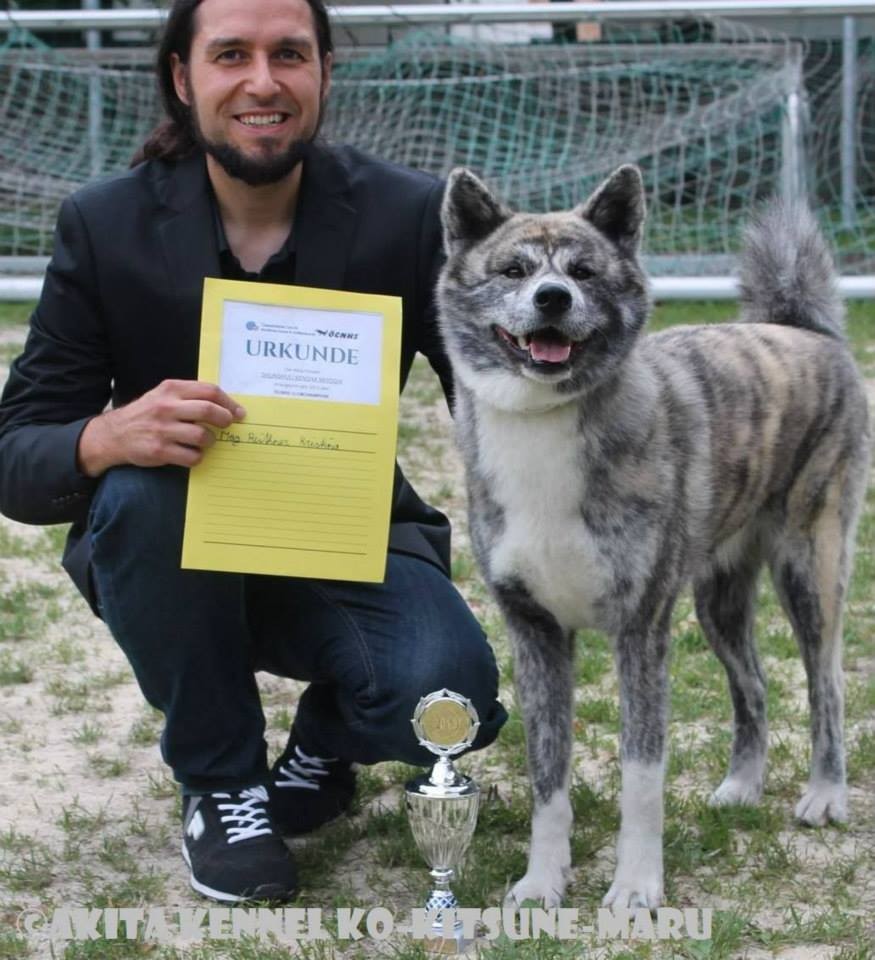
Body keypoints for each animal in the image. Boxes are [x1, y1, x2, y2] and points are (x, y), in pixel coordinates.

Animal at [435, 165, 870, 909]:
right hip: (716, 600)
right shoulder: (535, 635)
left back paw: (824, 795)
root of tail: (801, 331)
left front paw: (636, 888)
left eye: (583, 271)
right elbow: (547, 779)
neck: (545, 424)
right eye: (513, 269)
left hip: (808, 569)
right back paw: (740, 787)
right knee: (753, 686)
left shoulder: (640, 631)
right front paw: (541, 883)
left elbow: (642, 775)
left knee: (826, 687)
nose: (552, 298)